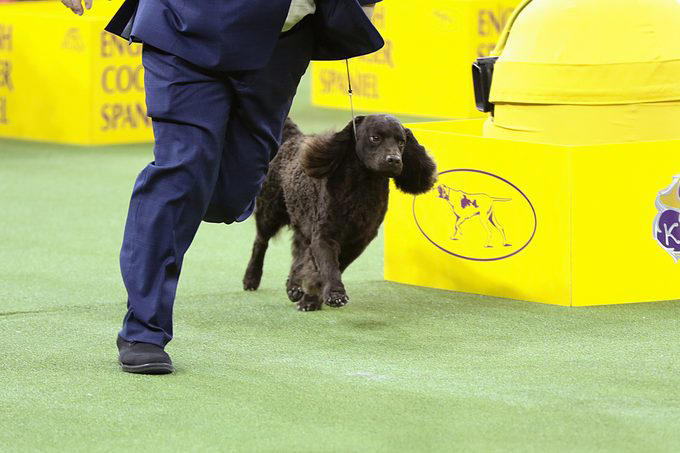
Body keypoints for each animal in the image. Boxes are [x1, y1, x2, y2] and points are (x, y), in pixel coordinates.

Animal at [242, 115, 438, 308]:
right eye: (375, 138)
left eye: (401, 142)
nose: (394, 160)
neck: (362, 189)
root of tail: (292, 138)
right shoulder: (324, 235)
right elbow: (329, 266)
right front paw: (334, 296)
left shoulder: (360, 239)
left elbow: (330, 266)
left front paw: (312, 297)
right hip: (270, 212)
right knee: (260, 242)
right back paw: (251, 278)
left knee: (299, 253)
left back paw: (294, 287)